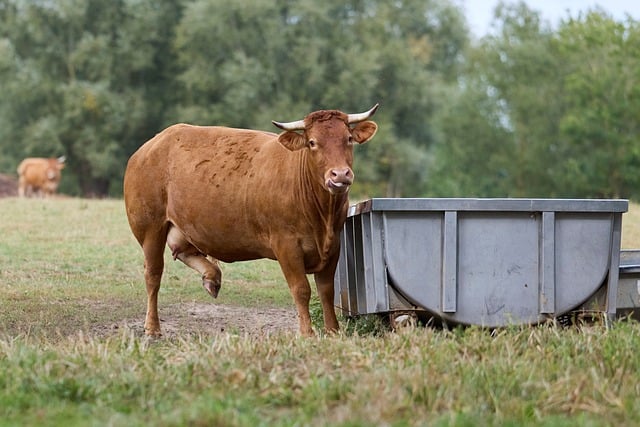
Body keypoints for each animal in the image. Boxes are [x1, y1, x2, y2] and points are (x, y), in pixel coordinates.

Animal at [123, 105, 379, 337]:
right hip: (150, 228)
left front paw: (333, 331)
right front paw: (307, 333)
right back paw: (153, 327)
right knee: (153, 274)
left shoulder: (333, 244)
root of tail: (152, 145)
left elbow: (326, 291)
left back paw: (212, 277)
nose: (340, 175)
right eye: (313, 142)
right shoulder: (286, 245)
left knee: (183, 251)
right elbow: (301, 290)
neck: (321, 216)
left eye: (348, 139)